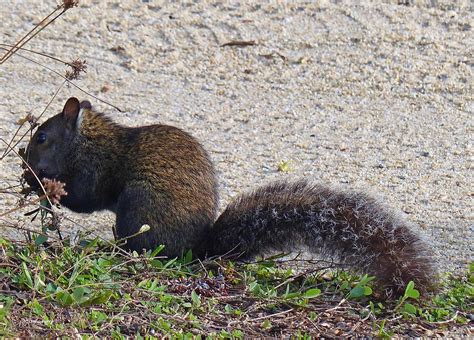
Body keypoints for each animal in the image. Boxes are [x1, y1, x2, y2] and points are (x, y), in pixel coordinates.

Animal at [24, 97, 436, 296]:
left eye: (41, 137)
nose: (24, 158)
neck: (88, 139)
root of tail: (198, 249)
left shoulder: (95, 170)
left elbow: (84, 198)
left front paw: (39, 184)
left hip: (136, 211)